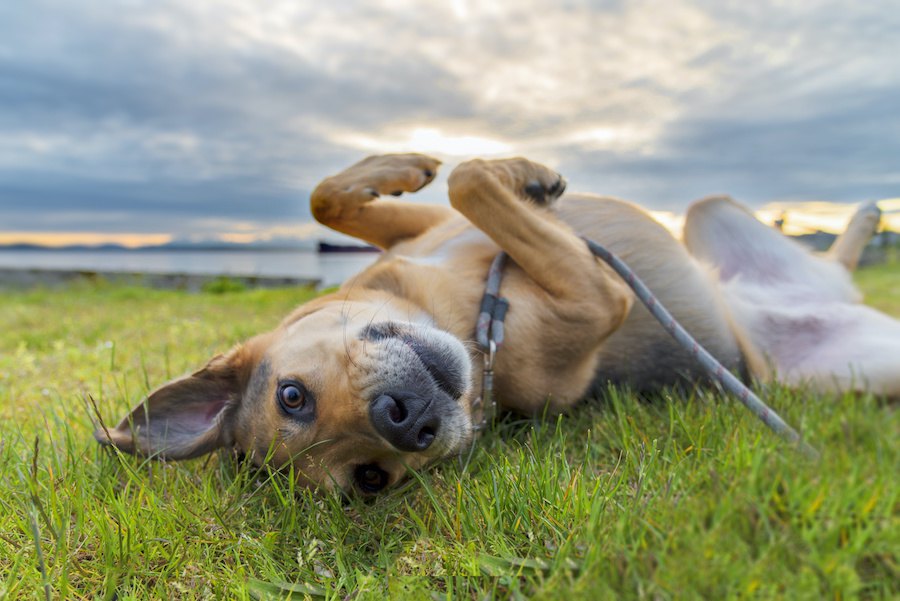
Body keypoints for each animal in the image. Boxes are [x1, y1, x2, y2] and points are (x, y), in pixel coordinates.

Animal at [96, 151, 900, 492]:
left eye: (290, 395)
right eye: (370, 479)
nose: (406, 421)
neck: (463, 311)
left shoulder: (427, 229)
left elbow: (344, 196)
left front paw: (415, 163)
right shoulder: (598, 297)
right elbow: (472, 183)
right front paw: (518, 174)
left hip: (709, 214)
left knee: (829, 259)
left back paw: (864, 217)